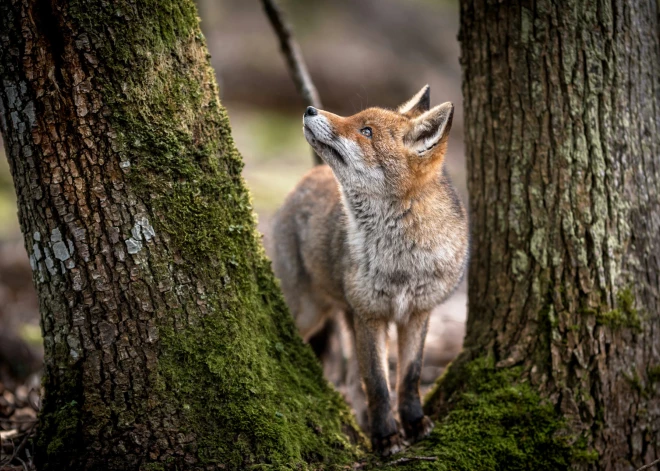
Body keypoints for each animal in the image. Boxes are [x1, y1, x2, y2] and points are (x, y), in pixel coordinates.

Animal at [272, 85, 470, 458]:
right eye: (355, 119)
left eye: (366, 132)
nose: (309, 109)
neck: (401, 261)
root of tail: (306, 177)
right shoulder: (370, 315)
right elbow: (378, 384)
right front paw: (385, 437)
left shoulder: (418, 313)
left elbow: (408, 377)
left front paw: (414, 423)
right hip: (308, 313)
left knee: (352, 382)